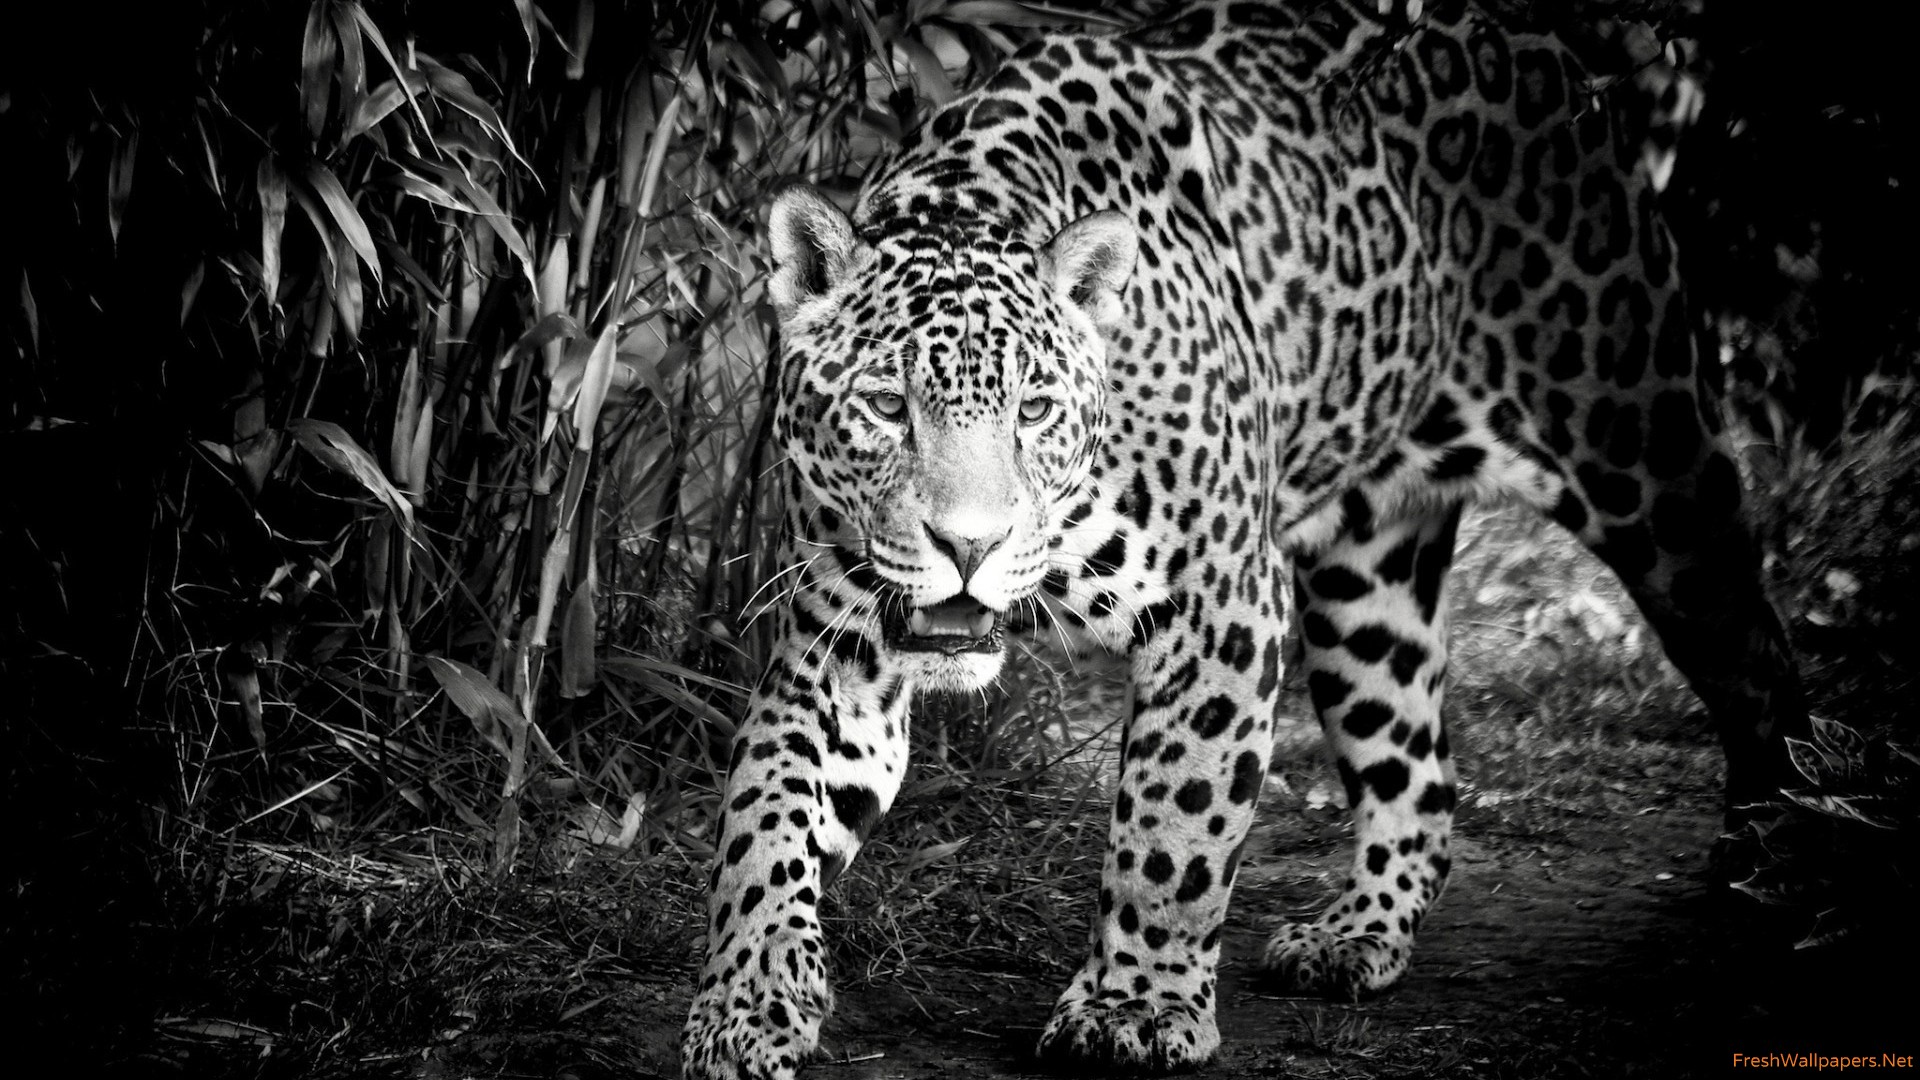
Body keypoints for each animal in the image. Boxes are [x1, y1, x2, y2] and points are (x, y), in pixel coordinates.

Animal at [679, 0, 1804, 1075]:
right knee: (1417, 766)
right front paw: (747, 1001)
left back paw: (1779, 855)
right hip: (1367, 592)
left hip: (1645, 454)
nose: (969, 548)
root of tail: (1532, 41)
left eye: (1035, 410)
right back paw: (1356, 935)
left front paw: (1135, 1008)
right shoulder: (834, 648)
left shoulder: (1219, 609)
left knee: (1754, 649)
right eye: (885, 403)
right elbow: (764, 820)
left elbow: (1174, 828)